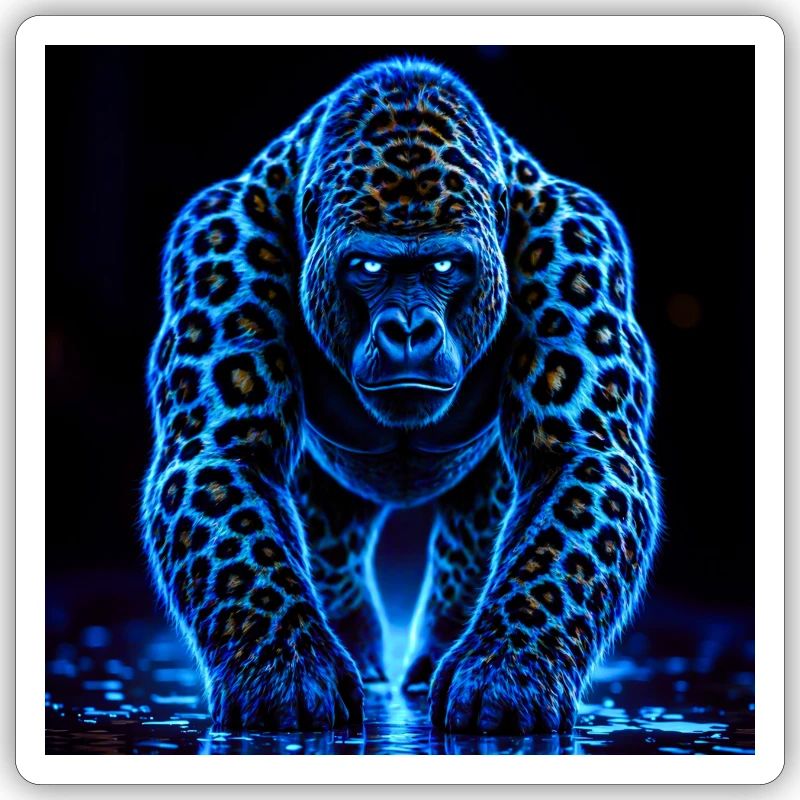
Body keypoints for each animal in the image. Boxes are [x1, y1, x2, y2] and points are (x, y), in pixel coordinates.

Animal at [140, 56, 660, 734]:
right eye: (368, 267)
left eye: (443, 267)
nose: (408, 329)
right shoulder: (219, 242)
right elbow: (232, 488)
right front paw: (285, 671)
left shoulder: (579, 247)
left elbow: (571, 482)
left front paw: (507, 671)